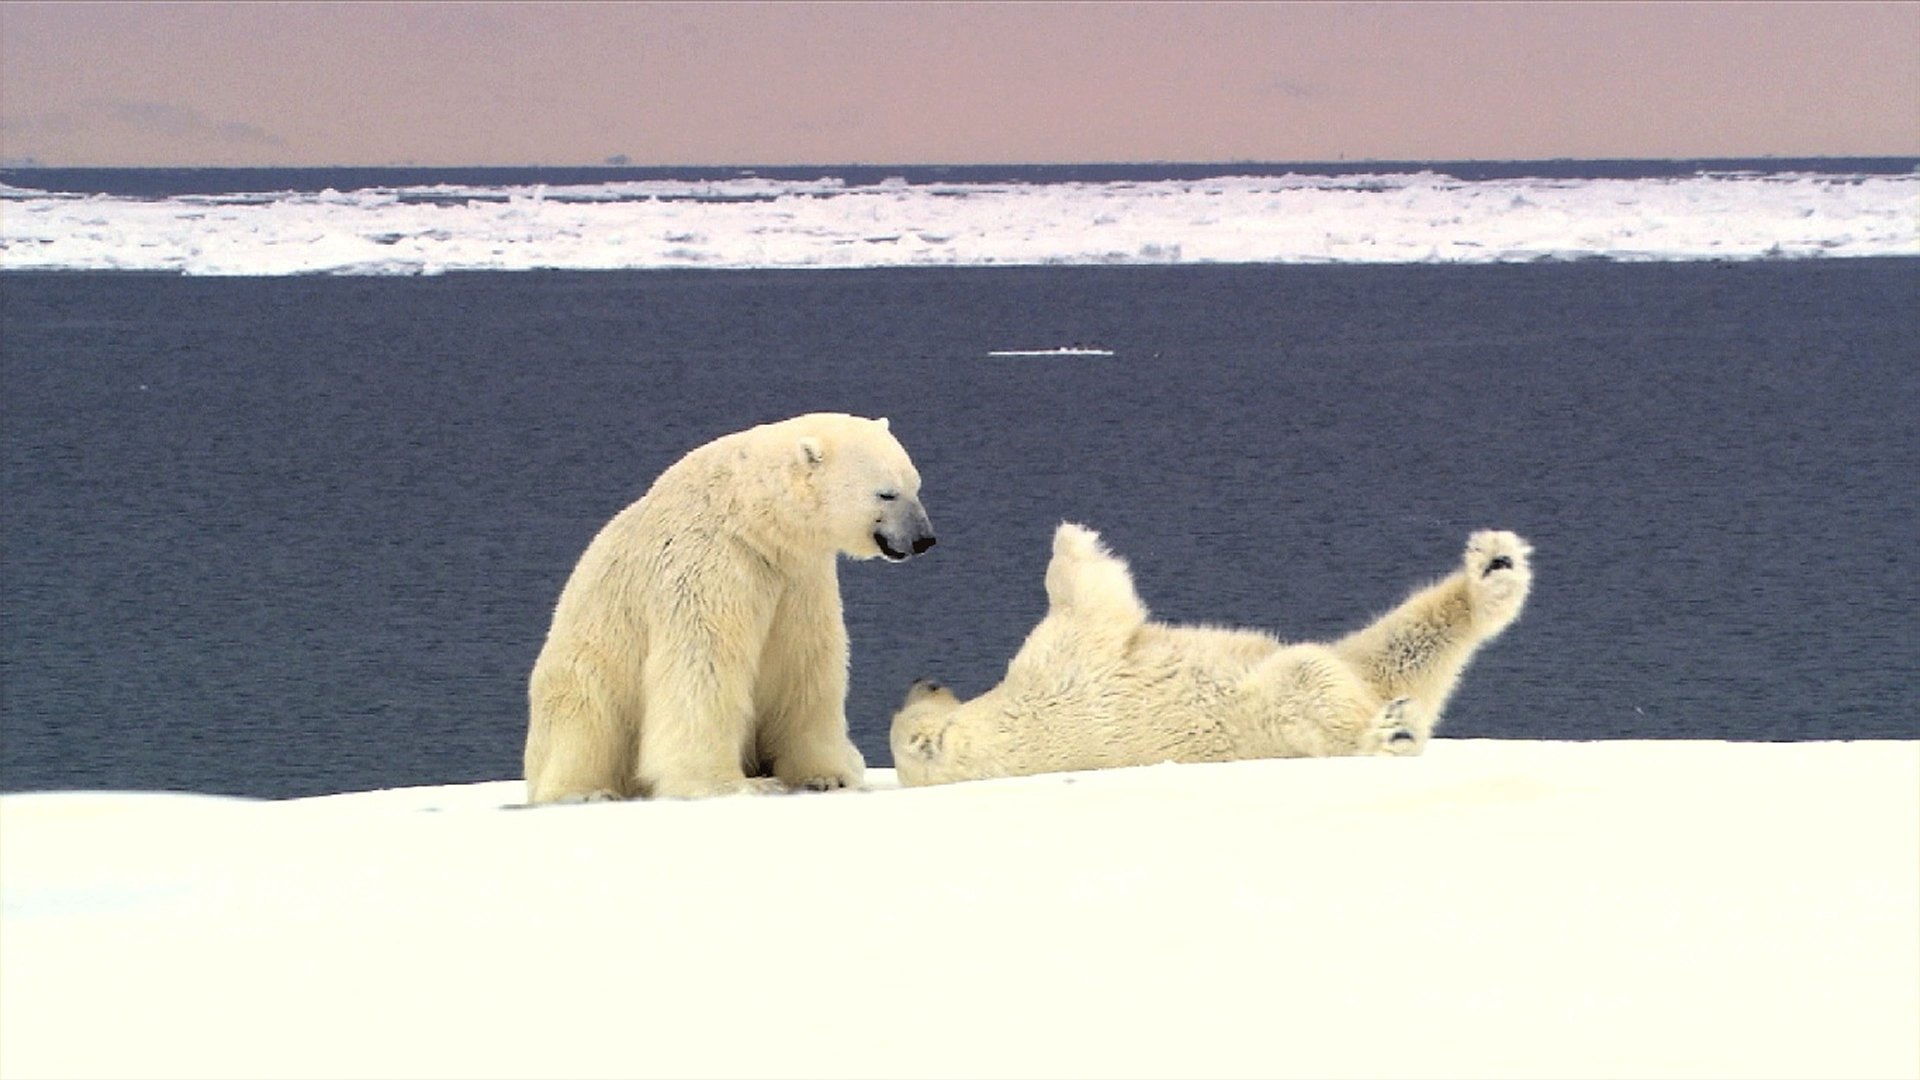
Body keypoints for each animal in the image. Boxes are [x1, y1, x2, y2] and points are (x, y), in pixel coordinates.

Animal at [525, 413, 936, 803]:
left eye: (916, 484)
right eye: (886, 494)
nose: (924, 538)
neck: (753, 520)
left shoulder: (799, 579)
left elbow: (804, 664)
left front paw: (827, 776)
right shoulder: (709, 560)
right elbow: (703, 664)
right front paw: (733, 785)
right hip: (583, 669)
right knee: (586, 723)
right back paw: (587, 791)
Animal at [890, 523, 1530, 787]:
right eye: (909, 708)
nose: (924, 677)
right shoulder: (1056, 680)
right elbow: (1092, 609)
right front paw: (1074, 541)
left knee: (1391, 642)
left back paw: (1494, 569)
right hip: (1265, 708)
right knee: (1327, 678)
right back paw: (1393, 730)